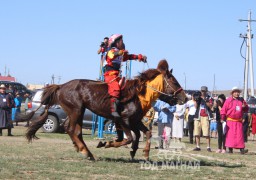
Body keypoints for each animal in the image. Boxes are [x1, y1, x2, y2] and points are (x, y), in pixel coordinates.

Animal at [17, 59, 187, 160]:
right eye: (174, 81)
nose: (184, 98)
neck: (139, 94)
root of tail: (61, 86)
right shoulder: (124, 120)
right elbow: (129, 138)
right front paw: (107, 144)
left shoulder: (135, 121)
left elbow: (146, 133)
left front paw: (142, 153)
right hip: (76, 110)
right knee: (72, 129)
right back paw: (87, 152)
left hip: (75, 112)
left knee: (71, 129)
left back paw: (82, 149)